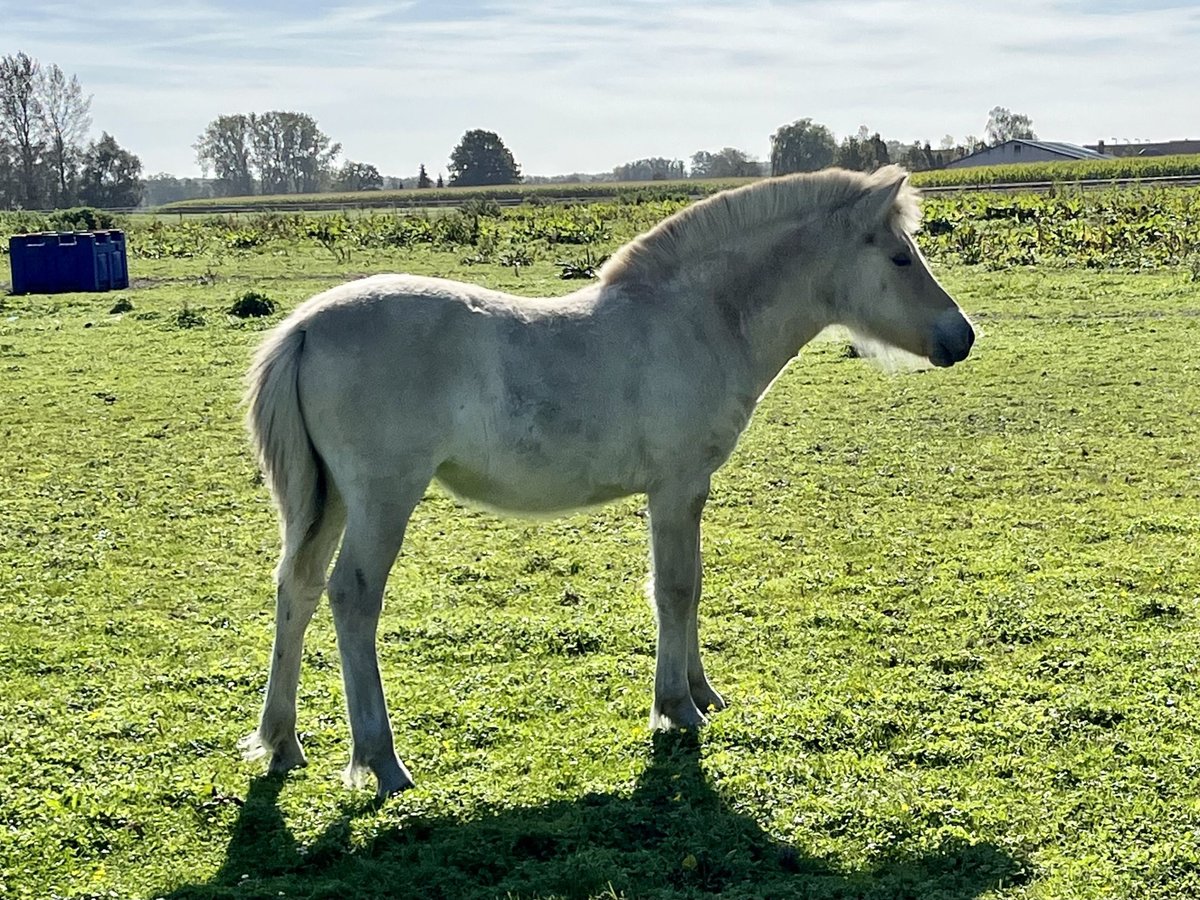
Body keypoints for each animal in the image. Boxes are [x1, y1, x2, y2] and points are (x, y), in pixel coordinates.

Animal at [236, 164, 974, 796]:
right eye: (900, 257)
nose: (962, 338)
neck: (699, 319)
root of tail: (306, 327)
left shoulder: (687, 491)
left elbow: (687, 585)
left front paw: (701, 692)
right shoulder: (675, 487)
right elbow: (674, 589)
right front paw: (676, 709)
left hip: (329, 500)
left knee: (297, 589)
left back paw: (282, 742)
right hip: (382, 499)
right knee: (352, 596)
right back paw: (381, 761)